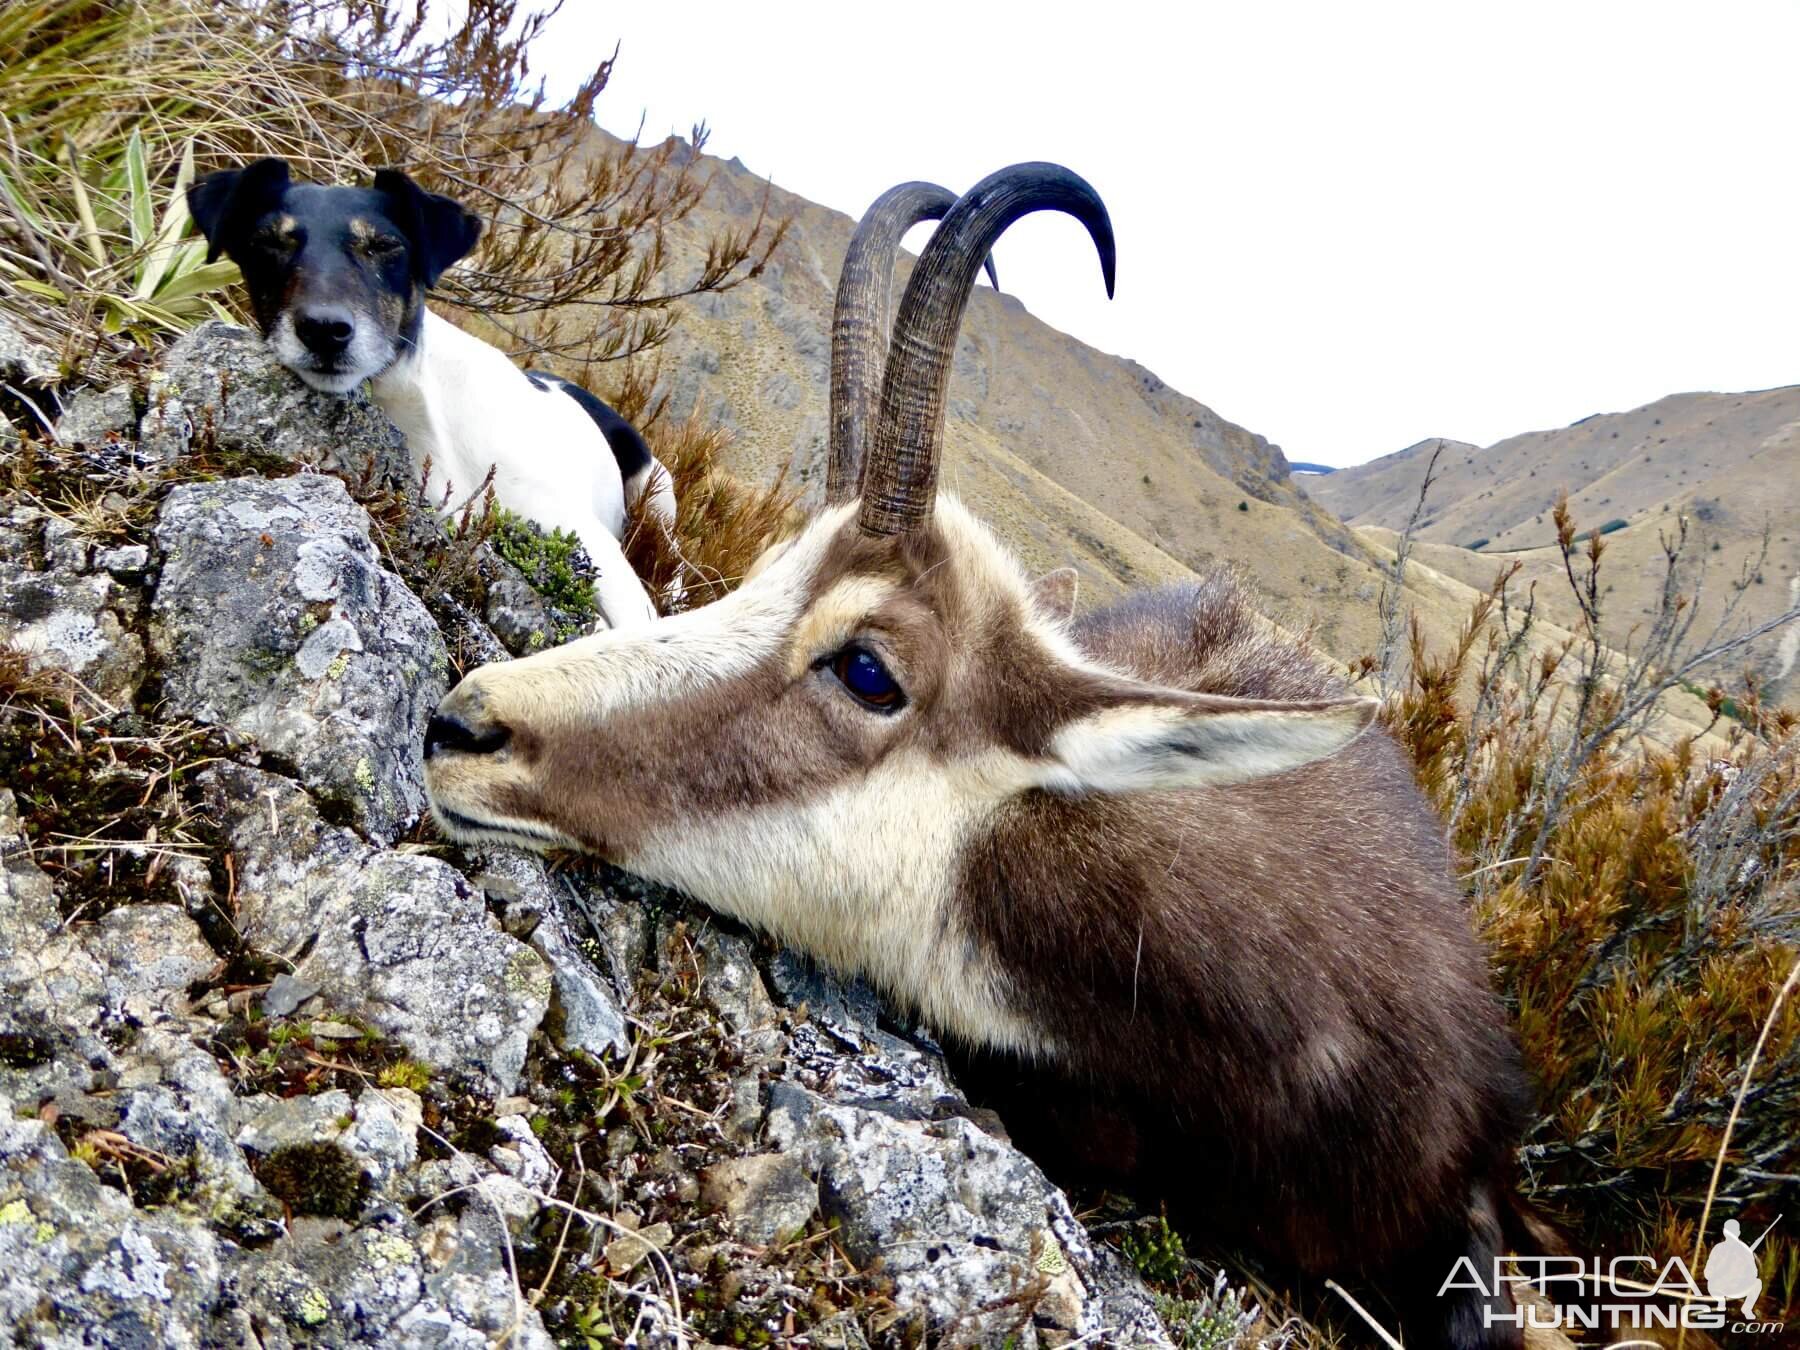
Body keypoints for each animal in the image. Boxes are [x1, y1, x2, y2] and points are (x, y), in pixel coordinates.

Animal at [188, 158, 676, 630]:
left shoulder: (589, 542)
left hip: (657, 491)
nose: (324, 330)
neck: (426, 410)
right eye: (268, 242)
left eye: (384, 245)